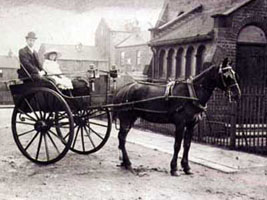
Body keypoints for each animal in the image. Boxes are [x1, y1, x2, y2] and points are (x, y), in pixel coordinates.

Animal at [112, 58, 242, 176]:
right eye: (226, 76)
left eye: (234, 74)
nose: (237, 94)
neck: (191, 94)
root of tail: (122, 89)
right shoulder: (180, 124)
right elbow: (177, 145)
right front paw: (174, 168)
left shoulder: (191, 125)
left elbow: (187, 145)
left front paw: (186, 167)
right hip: (126, 119)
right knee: (122, 138)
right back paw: (128, 163)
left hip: (131, 119)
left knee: (122, 138)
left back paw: (124, 163)